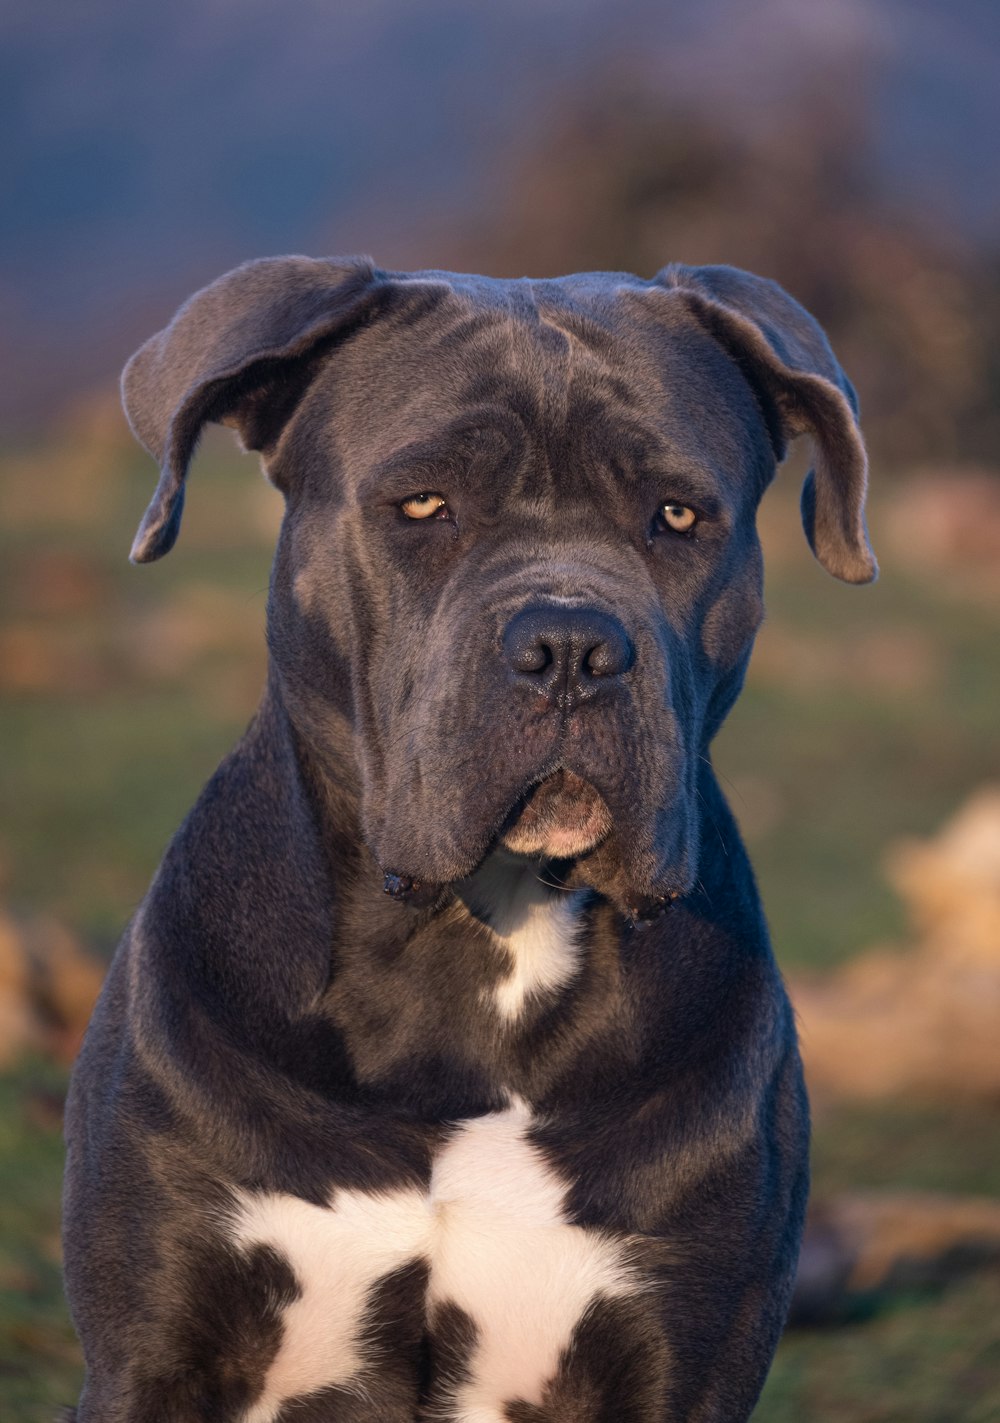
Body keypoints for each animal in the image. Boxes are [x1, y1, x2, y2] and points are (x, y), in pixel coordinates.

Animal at [62, 258, 876, 1423]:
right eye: (423, 504)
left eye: (676, 515)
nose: (572, 645)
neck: (475, 949)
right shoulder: (154, 1350)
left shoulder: (682, 1356)